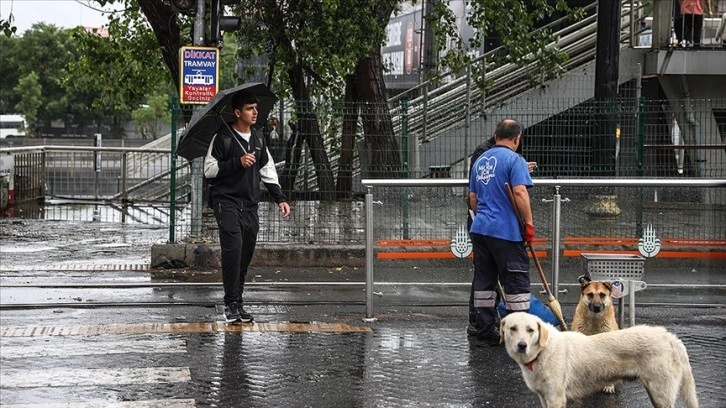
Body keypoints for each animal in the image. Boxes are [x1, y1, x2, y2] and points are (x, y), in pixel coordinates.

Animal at [500, 314, 700, 406]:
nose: (522, 345)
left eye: (530, 330)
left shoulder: (556, 398)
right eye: (512, 328)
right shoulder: (544, 397)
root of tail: (670, 337)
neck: (543, 351)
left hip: (661, 394)